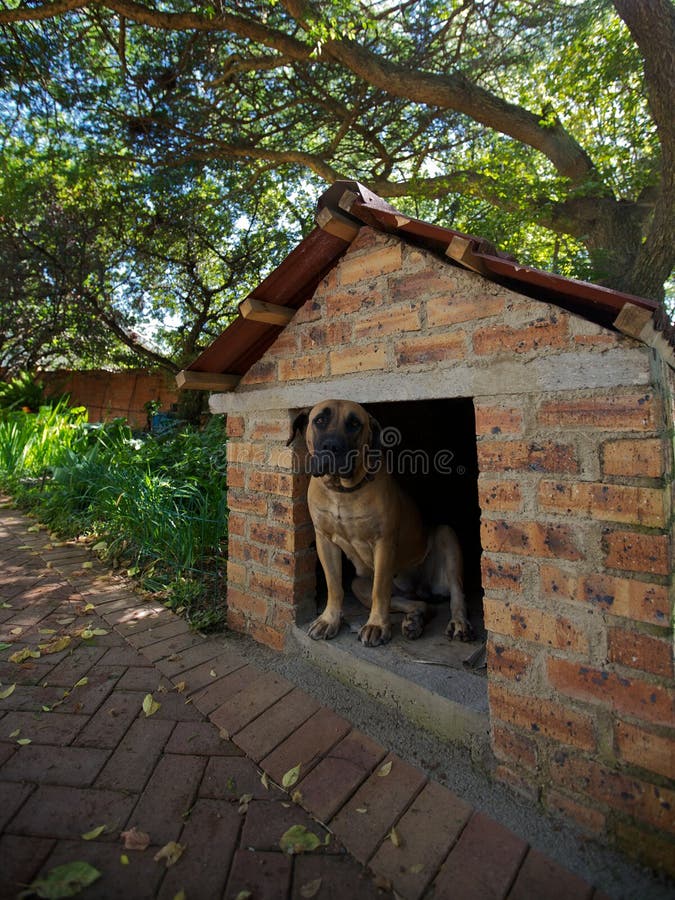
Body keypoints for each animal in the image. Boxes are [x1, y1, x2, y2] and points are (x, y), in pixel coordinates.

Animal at [288, 400, 472, 648]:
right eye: (320, 420)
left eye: (354, 424)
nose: (332, 446)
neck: (342, 491)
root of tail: (419, 587)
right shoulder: (324, 540)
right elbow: (334, 585)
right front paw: (329, 620)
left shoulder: (383, 542)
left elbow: (380, 590)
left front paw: (376, 625)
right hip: (360, 585)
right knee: (420, 605)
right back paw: (414, 620)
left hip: (447, 536)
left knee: (457, 596)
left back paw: (459, 623)